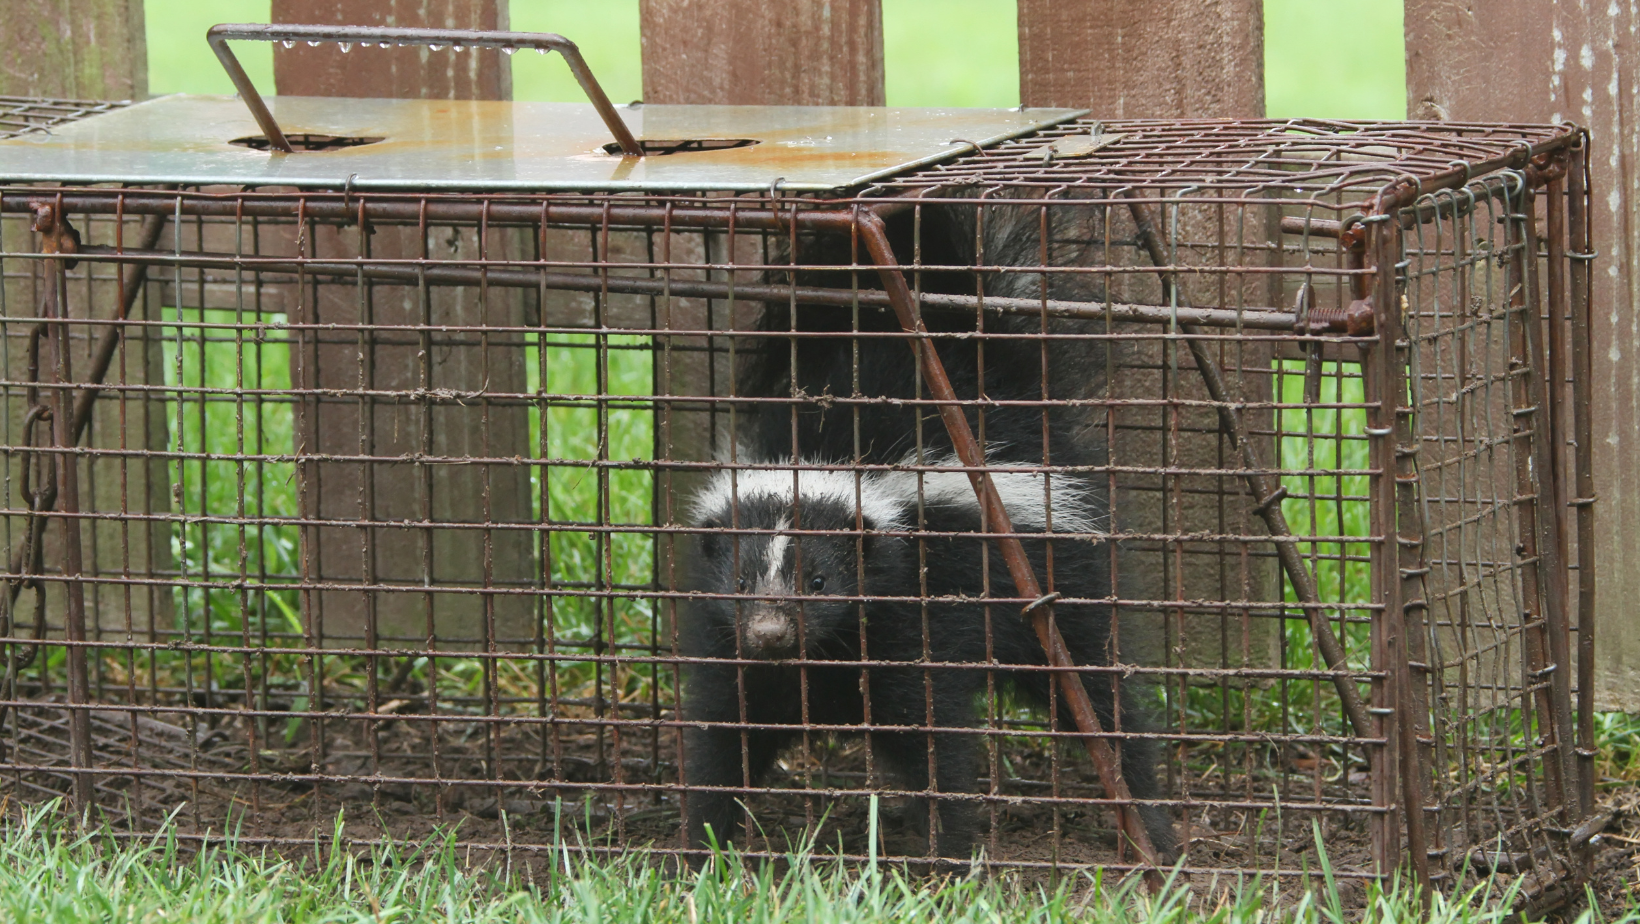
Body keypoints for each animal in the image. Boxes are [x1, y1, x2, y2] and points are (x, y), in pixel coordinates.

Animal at [678, 201, 1180, 859]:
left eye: (820, 582)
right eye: (738, 583)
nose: (770, 633)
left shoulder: (912, 617)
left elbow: (931, 730)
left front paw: (951, 846)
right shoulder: (728, 644)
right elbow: (725, 730)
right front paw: (704, 844)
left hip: (1055, 574)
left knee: (1097, 690)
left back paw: (1149, 819)